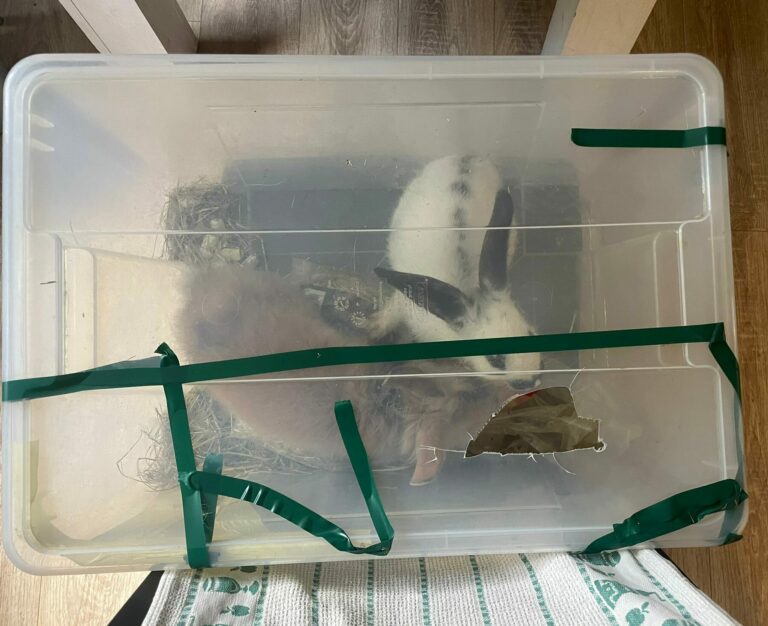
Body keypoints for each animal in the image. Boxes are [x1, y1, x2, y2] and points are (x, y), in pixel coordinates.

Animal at [371, 155, 541, 387]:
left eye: (530, 333)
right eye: (495, 360)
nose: (532, 381)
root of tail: (466, 158)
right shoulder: (405, 304)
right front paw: (372, 329)